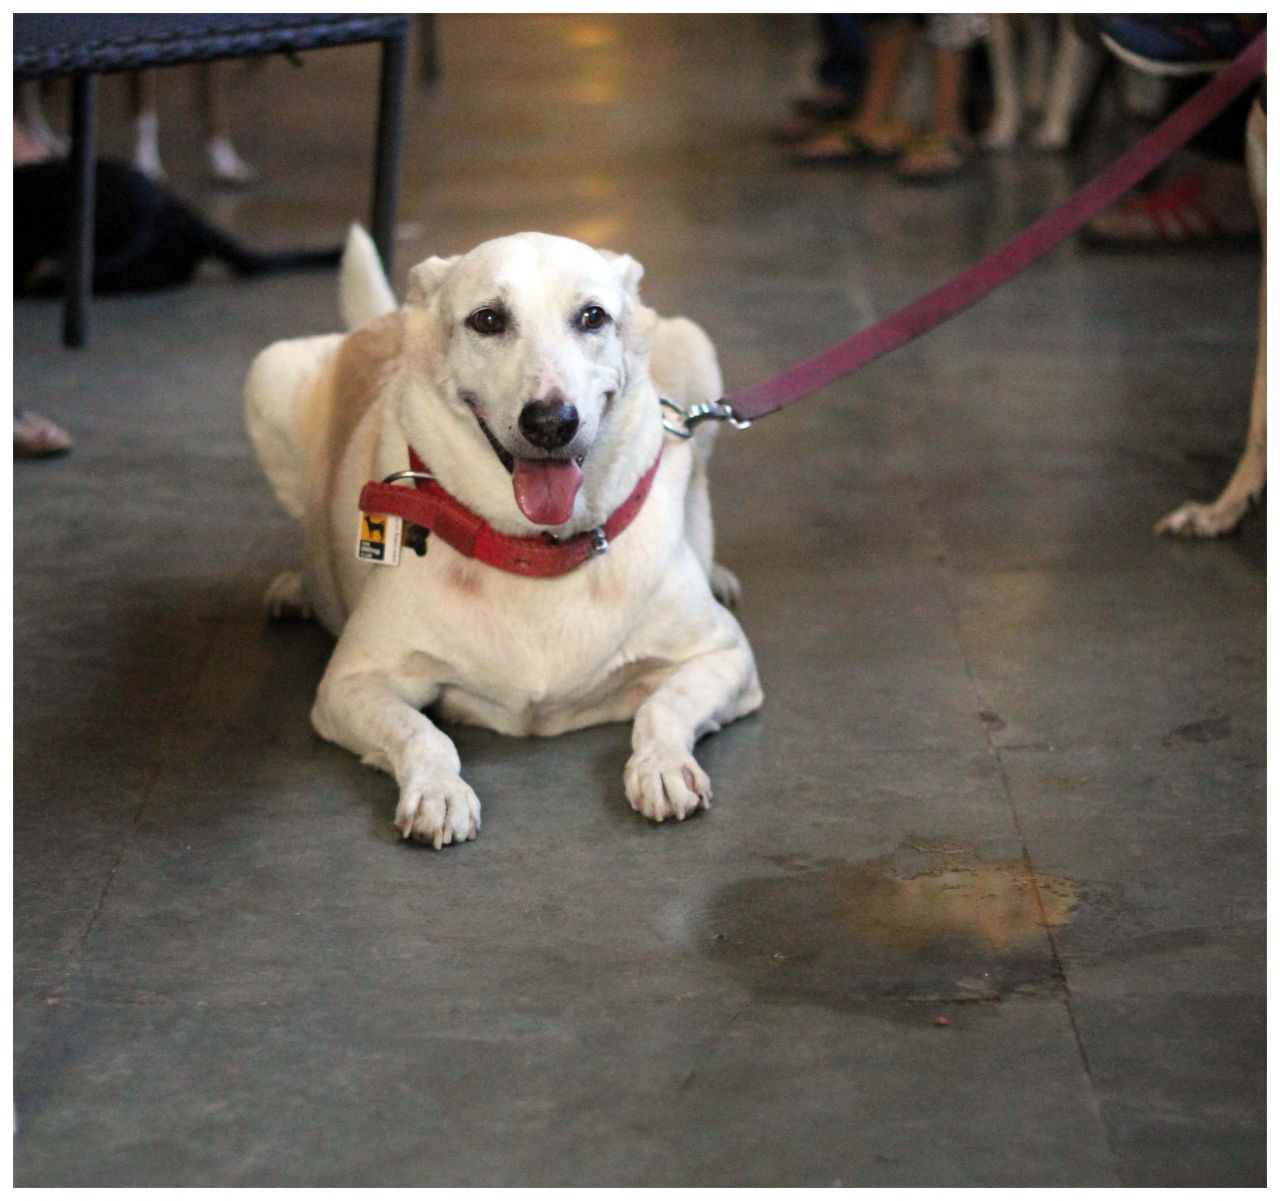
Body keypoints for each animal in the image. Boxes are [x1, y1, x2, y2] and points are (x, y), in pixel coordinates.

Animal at [247, 225, 757, 845]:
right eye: (487, 320)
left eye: (592, 316)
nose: (551, 422)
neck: (534, 549)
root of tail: (389, 316)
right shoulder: (351, 683)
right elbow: (424, 734)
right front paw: (437, 791)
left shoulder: (725, 656)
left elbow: (664, 706)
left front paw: (660, 766)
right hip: (268, 372)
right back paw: (295, 588)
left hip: (695, 348)